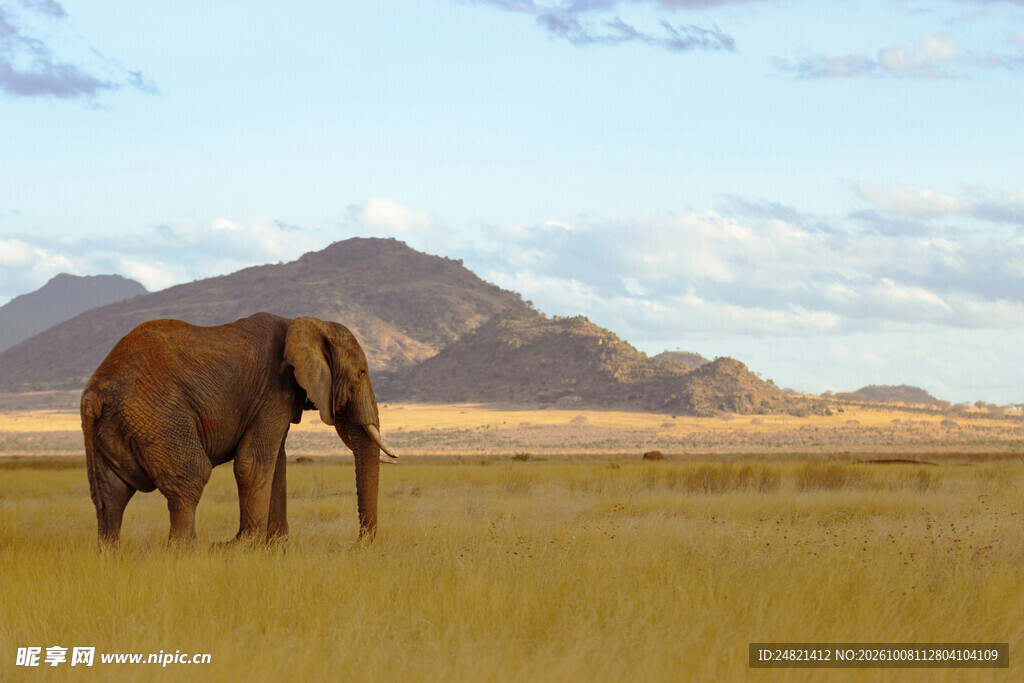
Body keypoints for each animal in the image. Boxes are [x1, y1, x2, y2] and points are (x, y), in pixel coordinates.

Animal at [80, 312, 398, 546]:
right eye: (362, 373)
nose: (357, 545)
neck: (306, 322)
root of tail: (94, 394)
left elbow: (277, 465)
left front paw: (276, 548)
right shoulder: (273, 390)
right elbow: (253, 464)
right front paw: (245, 547)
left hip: (117, 425)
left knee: (111, 495)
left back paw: (111, 556)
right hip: (158, 416)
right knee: (192, 477)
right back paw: (188, 552)